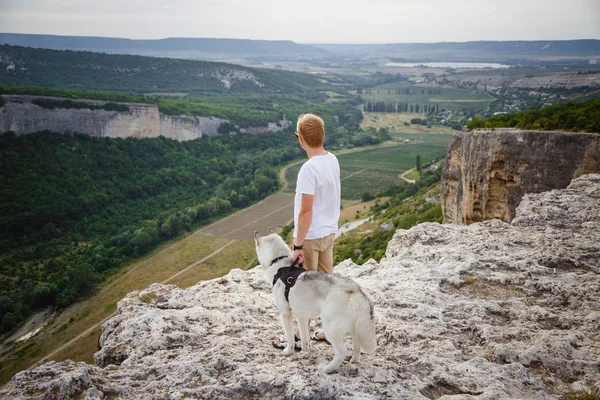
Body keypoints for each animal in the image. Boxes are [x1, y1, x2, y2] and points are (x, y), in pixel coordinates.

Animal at [253, 228, 376, 376]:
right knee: (356, 345)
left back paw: (327, 369)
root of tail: (356, 290)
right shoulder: (301, 317)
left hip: (330, 329)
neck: (280, 265)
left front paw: (288, 350)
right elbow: (304, 336)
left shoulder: (285, 314)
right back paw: (354, 360)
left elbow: (290, 337)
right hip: (353, 327)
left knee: (341, 352)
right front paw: (305, 350)